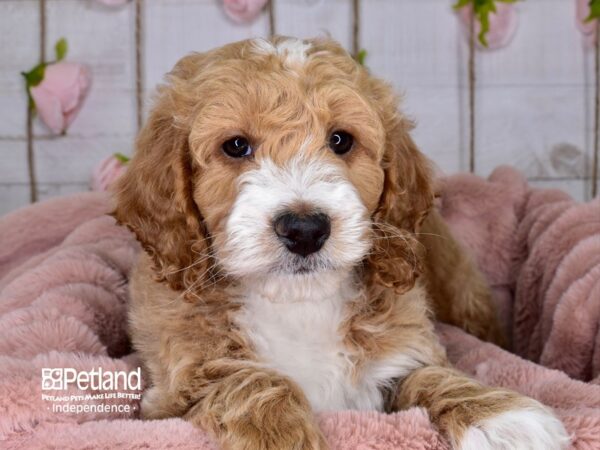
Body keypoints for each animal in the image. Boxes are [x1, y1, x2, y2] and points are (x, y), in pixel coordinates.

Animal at [115, 36, 568, 450]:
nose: (305, 229)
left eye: (340, 140)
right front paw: (286, 440)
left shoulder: (401, 350)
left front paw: (502, 416)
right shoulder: (175, 389)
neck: (299, 301)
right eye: (236, 146)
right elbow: (250, 379)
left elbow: (428, 374)